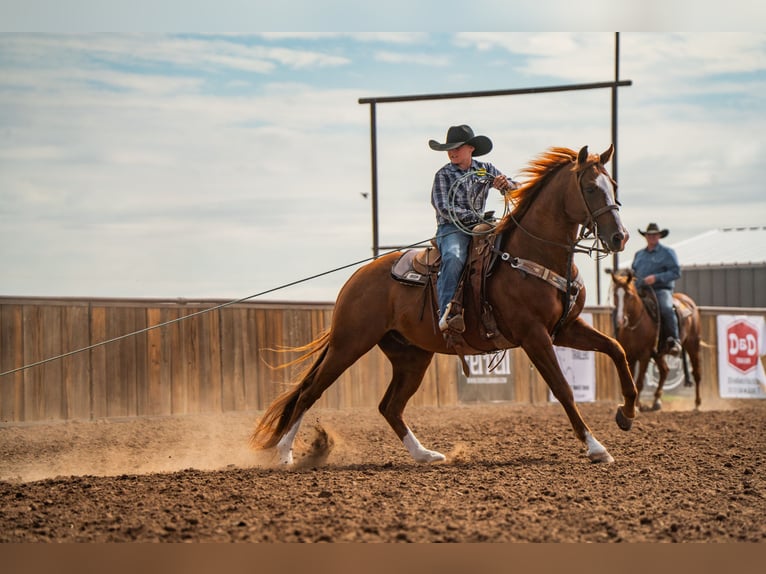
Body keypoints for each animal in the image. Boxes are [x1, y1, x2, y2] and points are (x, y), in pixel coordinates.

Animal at [251, 145, 638, 465]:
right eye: (590, 188)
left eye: (614, 184)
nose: (619, 237)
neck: (532, 253)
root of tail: (355, 279)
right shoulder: (534, 336)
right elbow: (563, 388)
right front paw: (596, 447)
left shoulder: (566, 328)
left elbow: (617, 349)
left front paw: (626, 413)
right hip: (350, 344)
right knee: (309, 394)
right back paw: (285, 454)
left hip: (411, 355)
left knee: (389, 406)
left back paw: (424, 454)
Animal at [609, 269, 702, 411]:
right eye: (615, 294)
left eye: (629, 295)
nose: (620, 320)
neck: (635, 326)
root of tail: (688, 301)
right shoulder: (630, 356)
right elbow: (631, 381)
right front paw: (634, 405)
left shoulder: (645, 355)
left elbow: (639, 382)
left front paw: (636, 406)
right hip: (658, 353)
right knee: (664, 371)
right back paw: (656, 401)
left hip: (693, 344)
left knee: (696, 373)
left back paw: (697, 404)